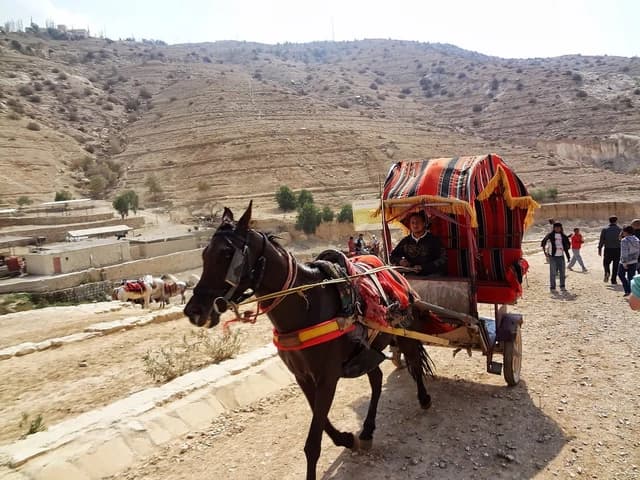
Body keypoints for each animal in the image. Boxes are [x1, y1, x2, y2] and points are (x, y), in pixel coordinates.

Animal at [184, 202, 434, 480]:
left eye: (228, 253)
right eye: (204, 253)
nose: (194, 311)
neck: (307, 306)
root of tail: (394, 271)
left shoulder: (327, 377)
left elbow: (313, 442)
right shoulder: (303, 376)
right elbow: (320, 421)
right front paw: (346, 438)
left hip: (404, 334)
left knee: (414, 363)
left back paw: (424, 398)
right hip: (369, 350)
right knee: (377, 379)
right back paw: (367, 430)